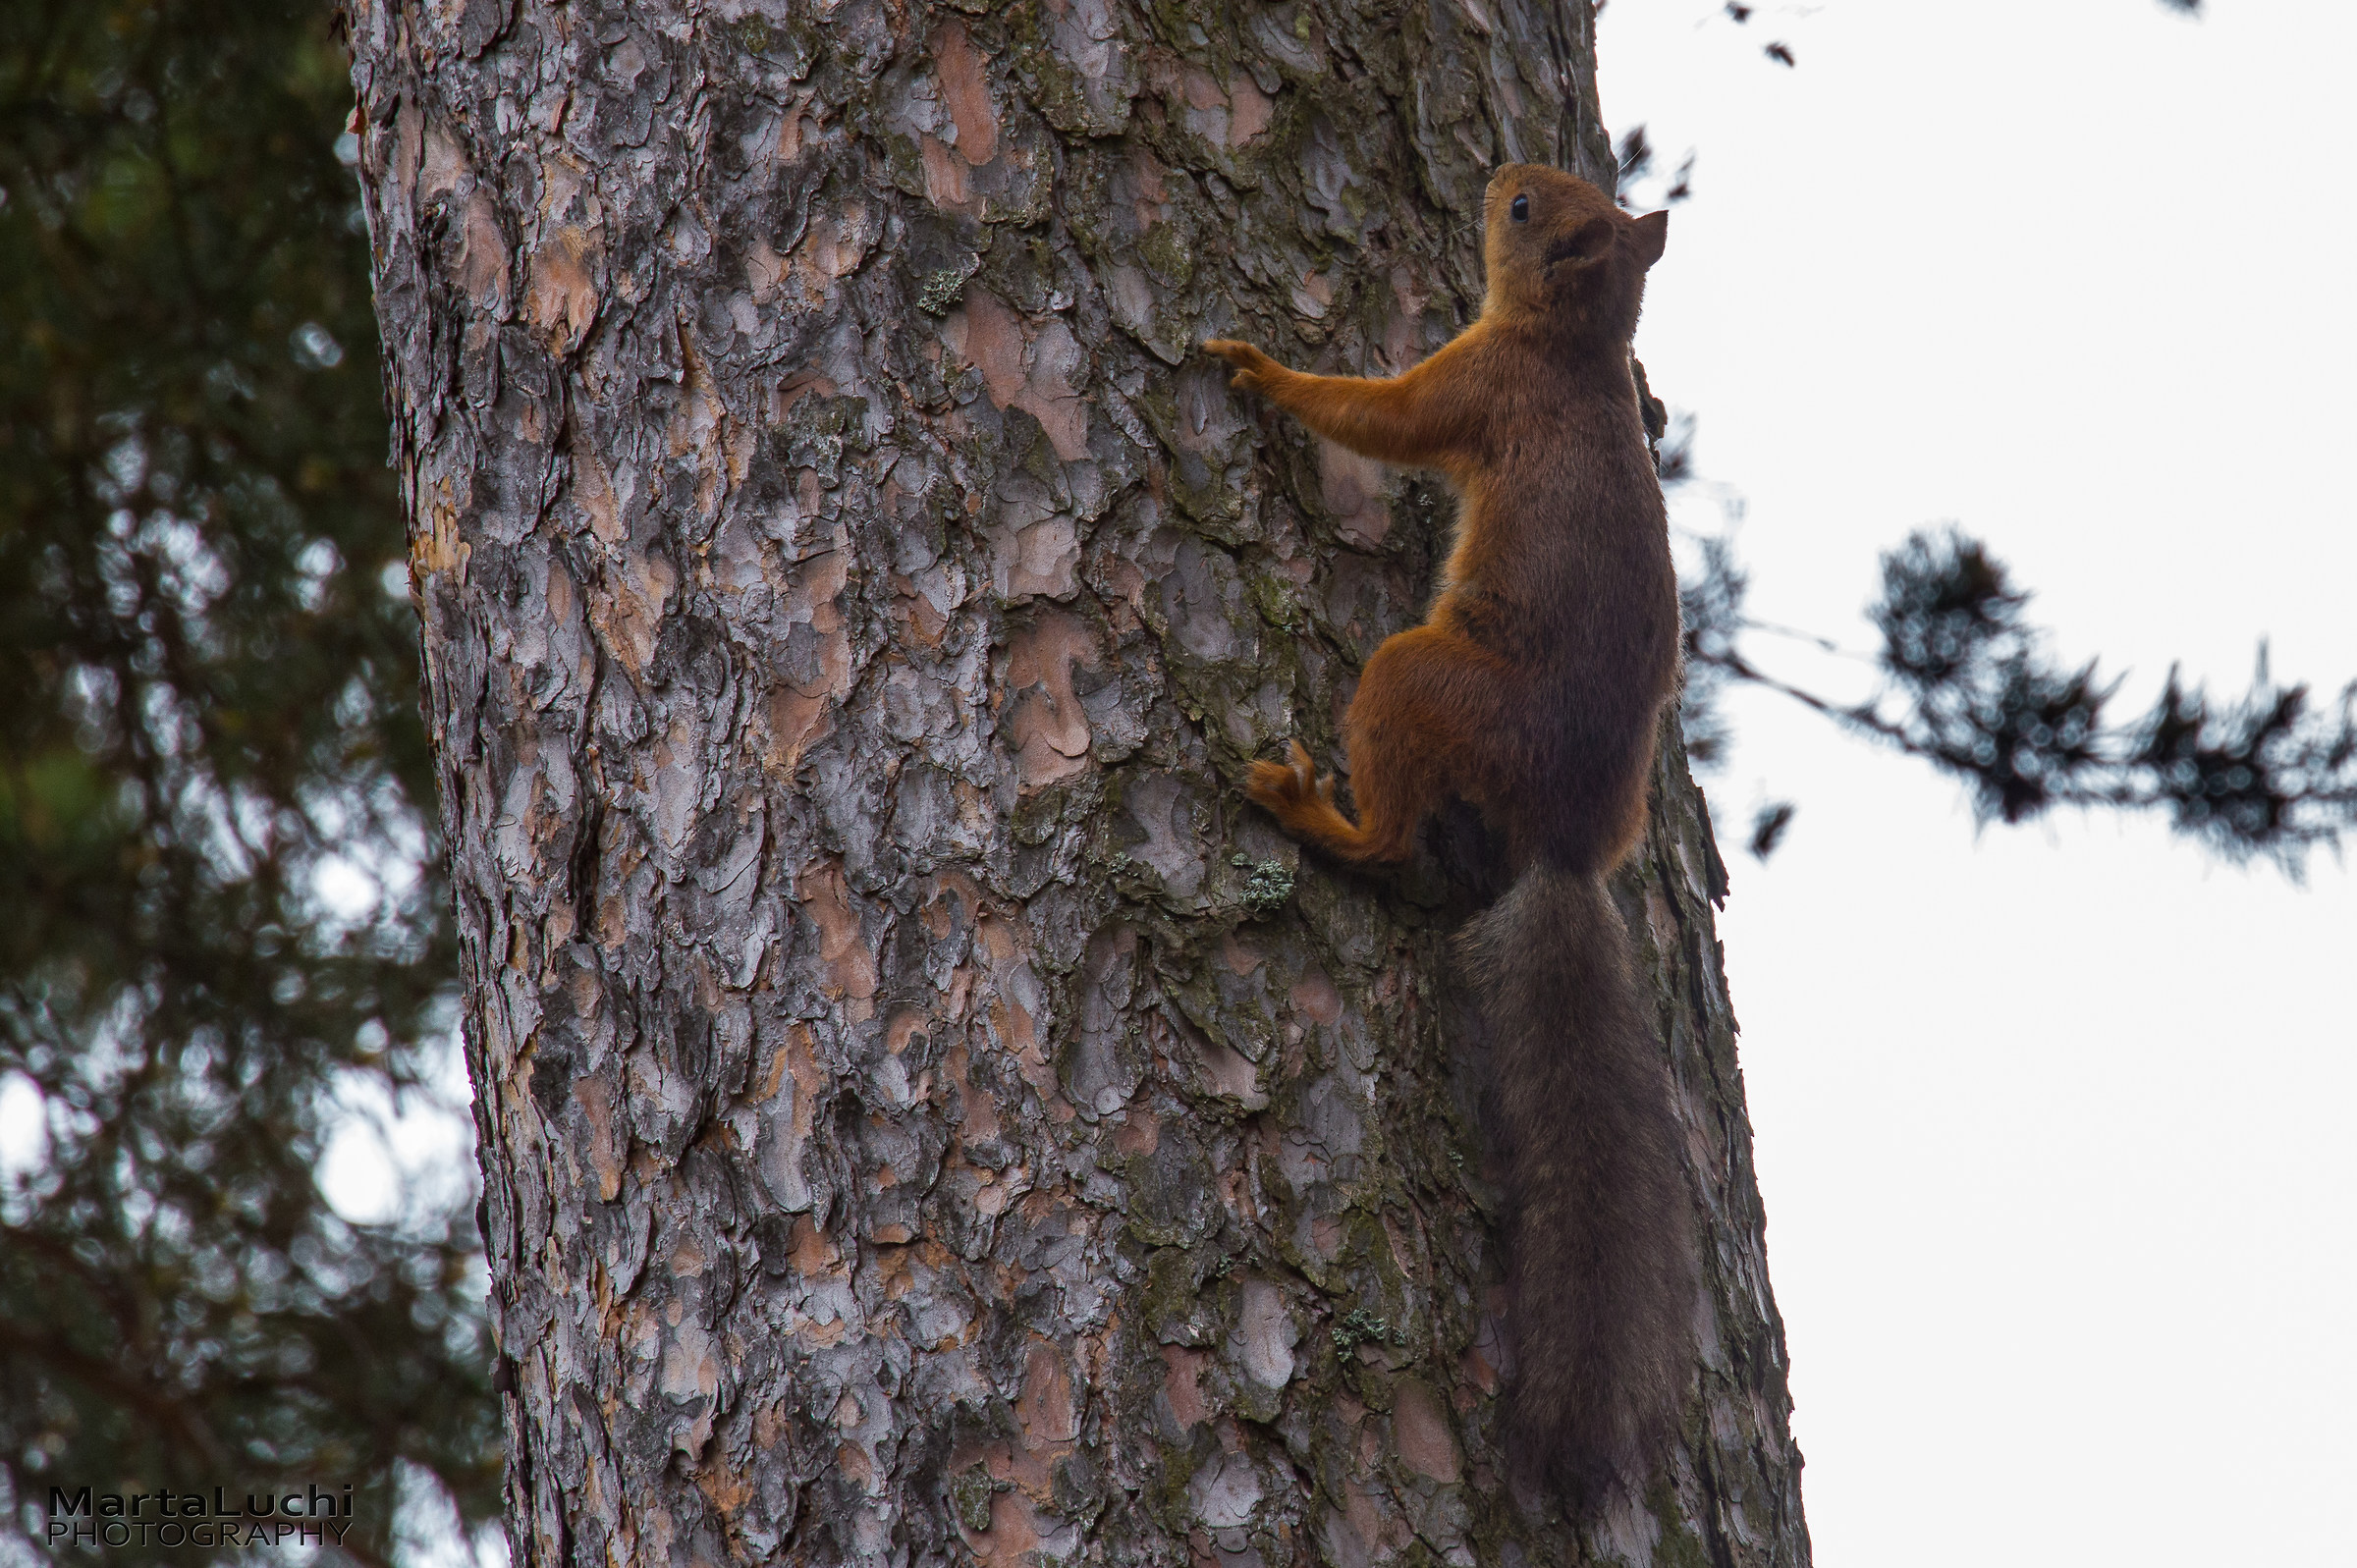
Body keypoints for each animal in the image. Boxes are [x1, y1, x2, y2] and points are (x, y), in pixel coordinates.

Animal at [1205, 164, 1695, 1514]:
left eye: (1528, 212)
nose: (1494, 175)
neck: (1571, 349)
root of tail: (1564, 844)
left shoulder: (1473, 388)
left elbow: (1378, 417)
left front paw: (1261, 371)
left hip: (1419, 680)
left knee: (1389, 843)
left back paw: (1313, 813)